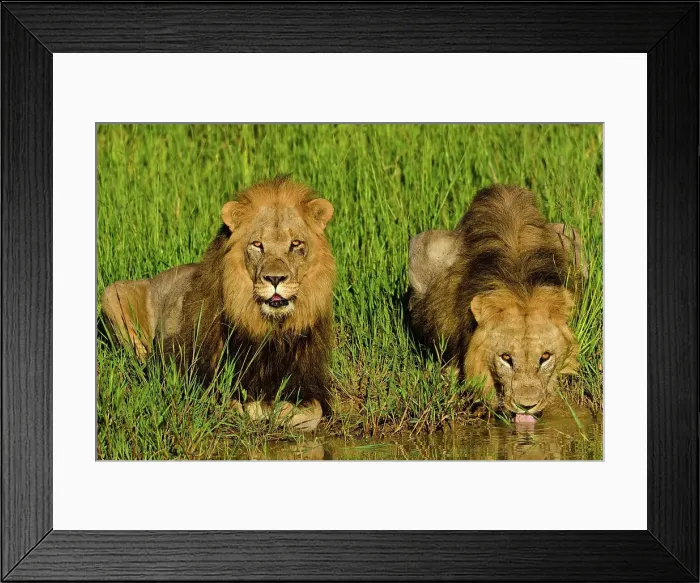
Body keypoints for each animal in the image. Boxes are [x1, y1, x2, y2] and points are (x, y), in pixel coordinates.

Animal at [100, 176, 336, 432]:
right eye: (257, 244)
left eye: (295, 243)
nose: (275, 279)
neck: (269, 326)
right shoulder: (197, 375)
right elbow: (233, 403)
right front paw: (261, 409)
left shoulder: (306, 380)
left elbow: (314, 411)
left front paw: (283, 410)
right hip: (110, 294)